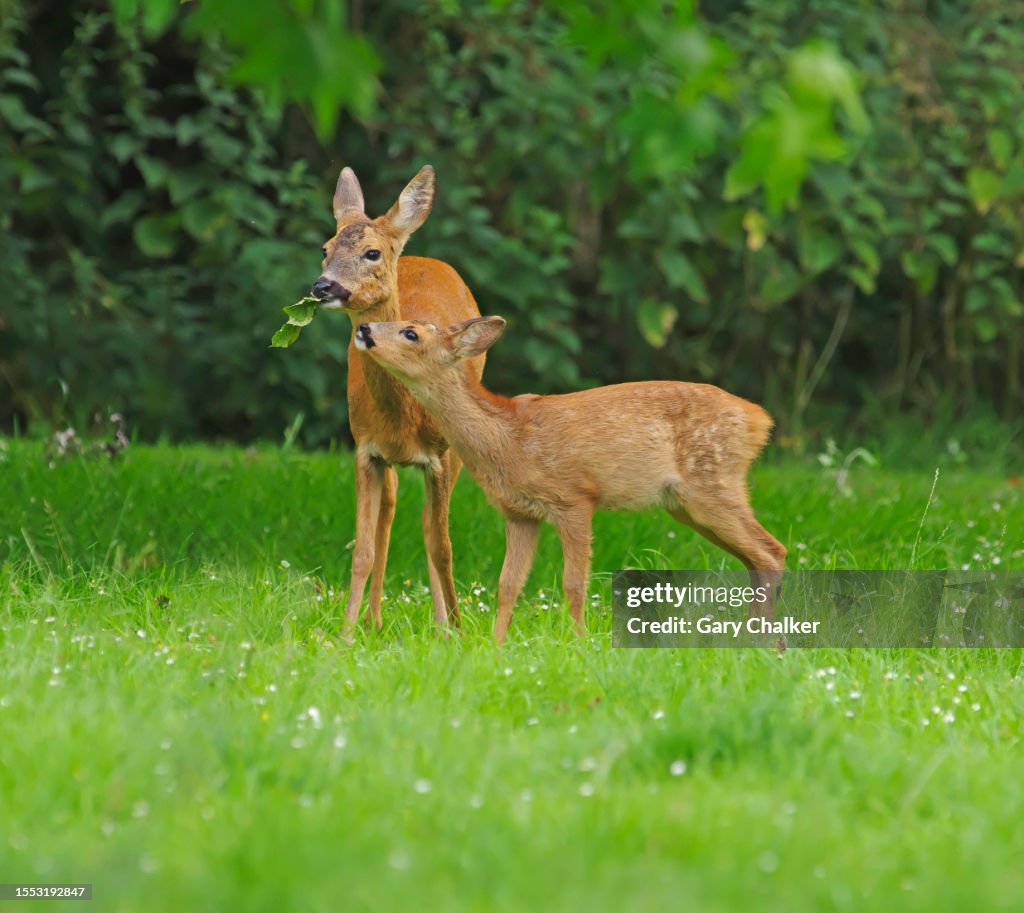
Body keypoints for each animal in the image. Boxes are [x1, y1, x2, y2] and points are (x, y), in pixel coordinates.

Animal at [309, 165, 485, 634]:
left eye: (371, 252)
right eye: (325, 248)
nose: (322, 286)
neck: (406, 415)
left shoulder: (441, 454)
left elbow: (442, 546)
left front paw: (456, 629)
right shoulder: (365, 449)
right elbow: (362, 548)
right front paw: (347, 633)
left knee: (428, 526)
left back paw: (439, 623)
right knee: (388, 511)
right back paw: (373, 619)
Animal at [352, 316, 787, 645]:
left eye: (411, 333)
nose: (365, 328)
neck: (508, 440)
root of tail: (760, 420)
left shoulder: (574, 497)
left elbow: (574, 585)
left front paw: (579, 644)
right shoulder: (520, 513)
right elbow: (507, 585)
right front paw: (495, 647)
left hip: (710, 483)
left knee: (770, 551)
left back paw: (764, 642)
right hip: (686, 504)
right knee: (756, 557)